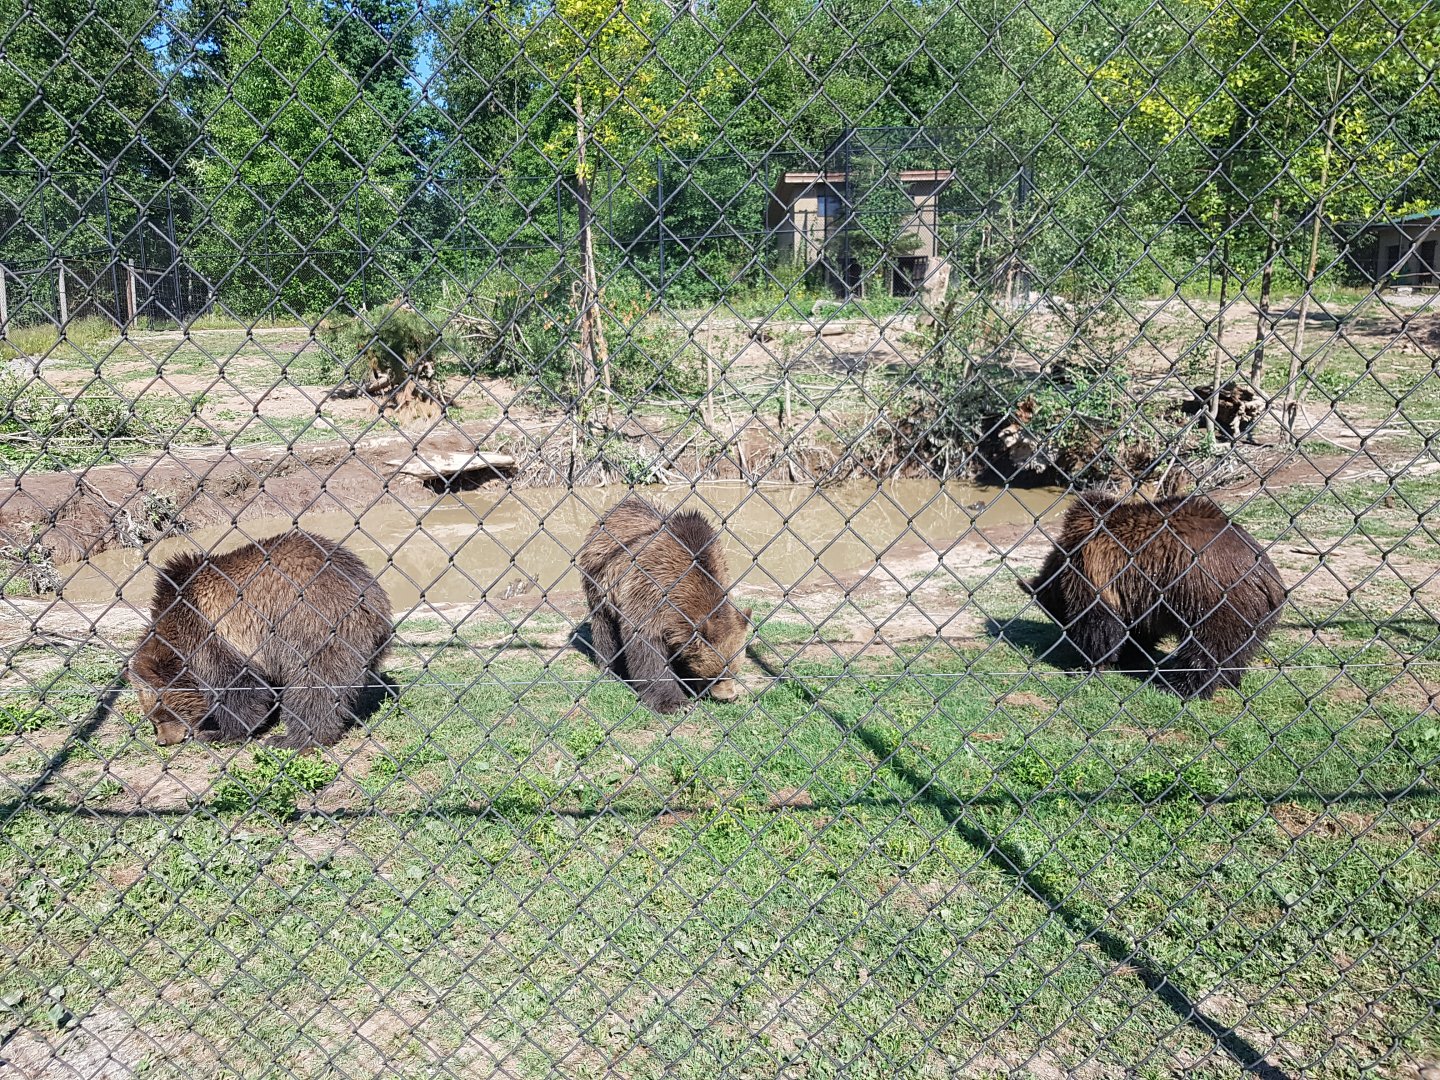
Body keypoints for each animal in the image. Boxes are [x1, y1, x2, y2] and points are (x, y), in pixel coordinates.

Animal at [128, 530, 393, 748]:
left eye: (162, 713)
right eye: (152, 718)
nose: (162, 741)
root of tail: (374, 599)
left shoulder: (212, 635)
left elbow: (238, 689)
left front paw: (220, 733)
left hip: (315, 626)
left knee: (313, 686)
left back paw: (293, 739)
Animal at [578, 497, 751, 714]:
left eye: (734, 671)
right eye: (716, 676)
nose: (729, 696)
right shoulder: (649, 592)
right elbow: (647, 651)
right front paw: (675, 703)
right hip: (601, 581)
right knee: (604, 627)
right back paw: (611, 668)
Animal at [1020, 492, 1285, 699]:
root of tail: (1268, 577)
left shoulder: (1095, 573)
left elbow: (1099, 625)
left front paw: (1089, 662)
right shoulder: (1140, 595)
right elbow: (1139, 629)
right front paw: (1126, 655)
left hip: (1215, 599)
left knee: (1208, 647)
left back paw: (1177, 686)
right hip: (1251, 615)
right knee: (1239, 648)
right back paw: (1230, 678)